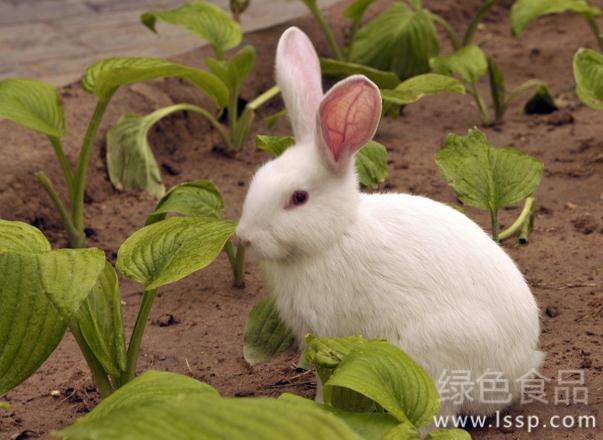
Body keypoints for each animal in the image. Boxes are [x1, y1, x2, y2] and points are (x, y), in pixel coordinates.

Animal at [238, 27, 544, 420]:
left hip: (431, 361)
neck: (335, 236)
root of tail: (516, 372)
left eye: (298, 198)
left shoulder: (329, 336)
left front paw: (322, 409)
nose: (244, 238)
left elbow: (326, 380)